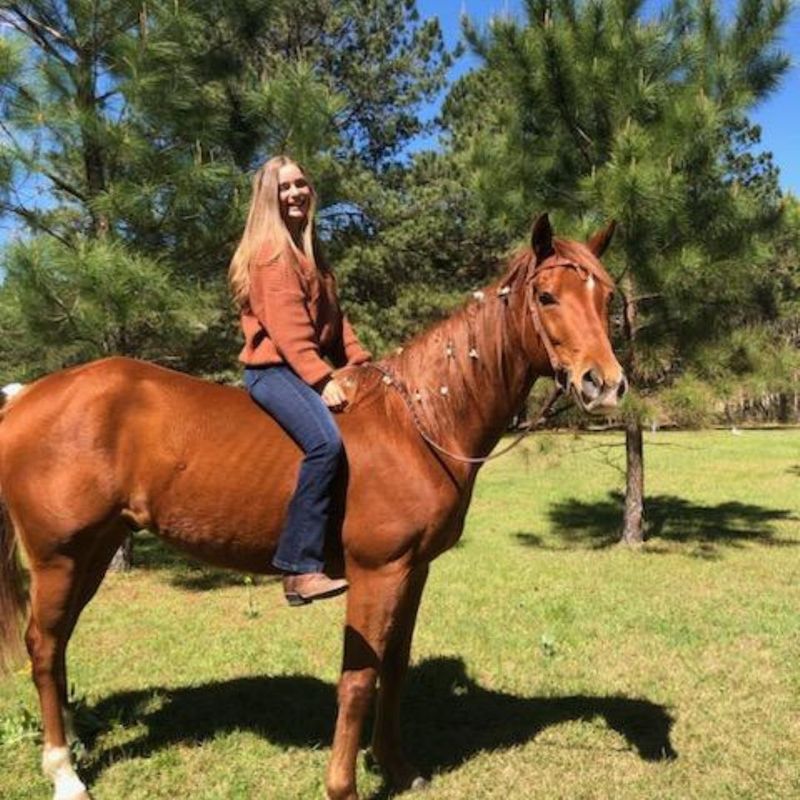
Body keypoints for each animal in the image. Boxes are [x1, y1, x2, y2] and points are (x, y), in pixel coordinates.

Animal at [0, 214, 624, 800]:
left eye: (607, 297)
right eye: (547, 297)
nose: (606, 385)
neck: (415, 423)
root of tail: (26, 396)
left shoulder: (413, 570)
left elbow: (395, 669)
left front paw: (398, 767)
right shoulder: (376, 573)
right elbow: (359, 679)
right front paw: (343, 785)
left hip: (95, 551)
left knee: (58, 645)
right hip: (58, 557)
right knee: (43, 646)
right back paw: (64, 773)